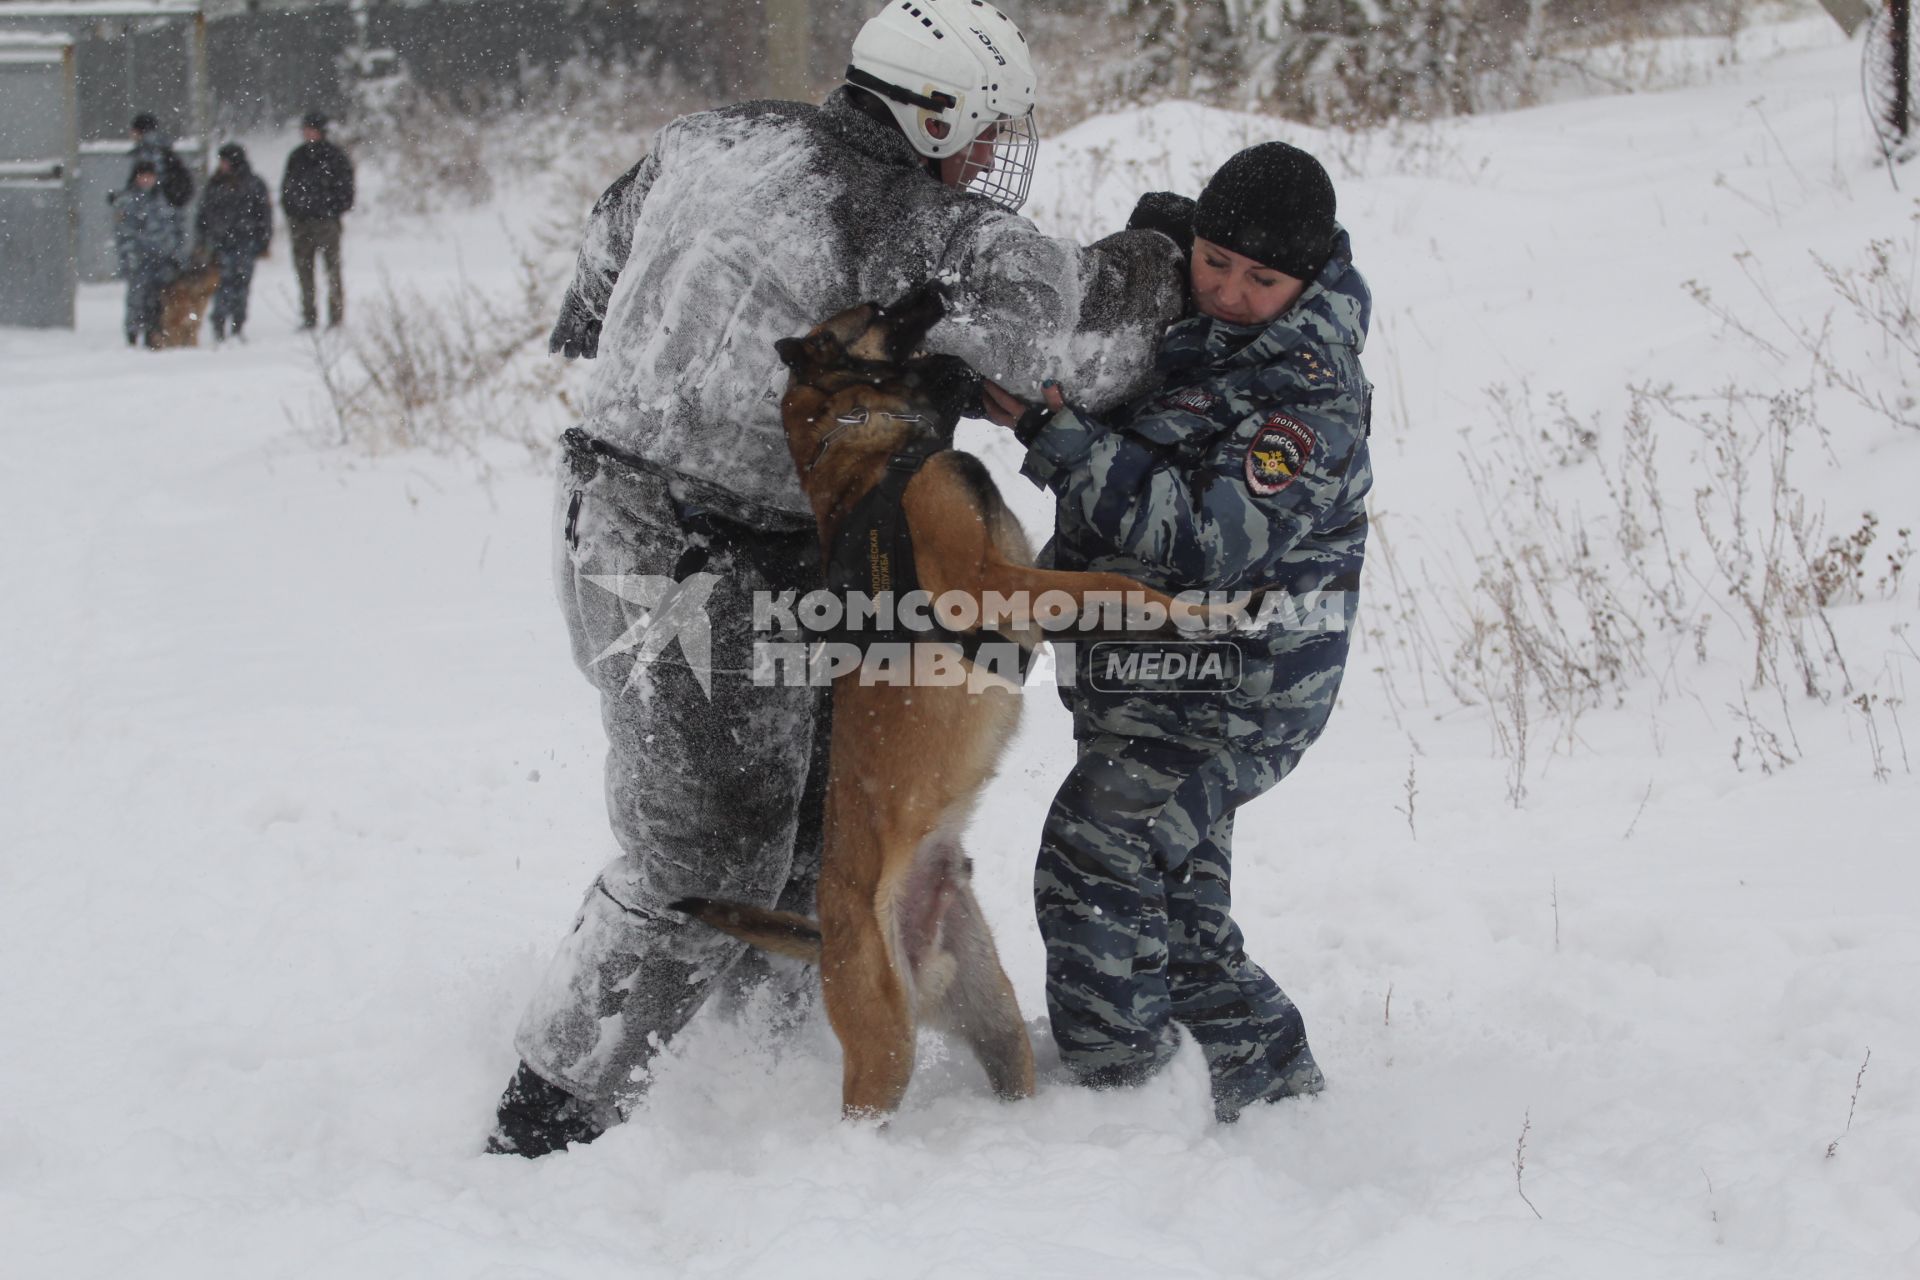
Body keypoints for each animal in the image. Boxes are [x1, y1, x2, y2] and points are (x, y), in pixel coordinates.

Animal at [668, 282, 1190, 1120]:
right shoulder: (991, 580)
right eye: (879, 310)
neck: (873, 450)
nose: (935, 284)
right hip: (884, 1050)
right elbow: (1116, 582)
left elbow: (1098, 582)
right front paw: (1215, 609)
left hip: (991, 1015)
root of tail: (832, 934)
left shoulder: (1022, 579)